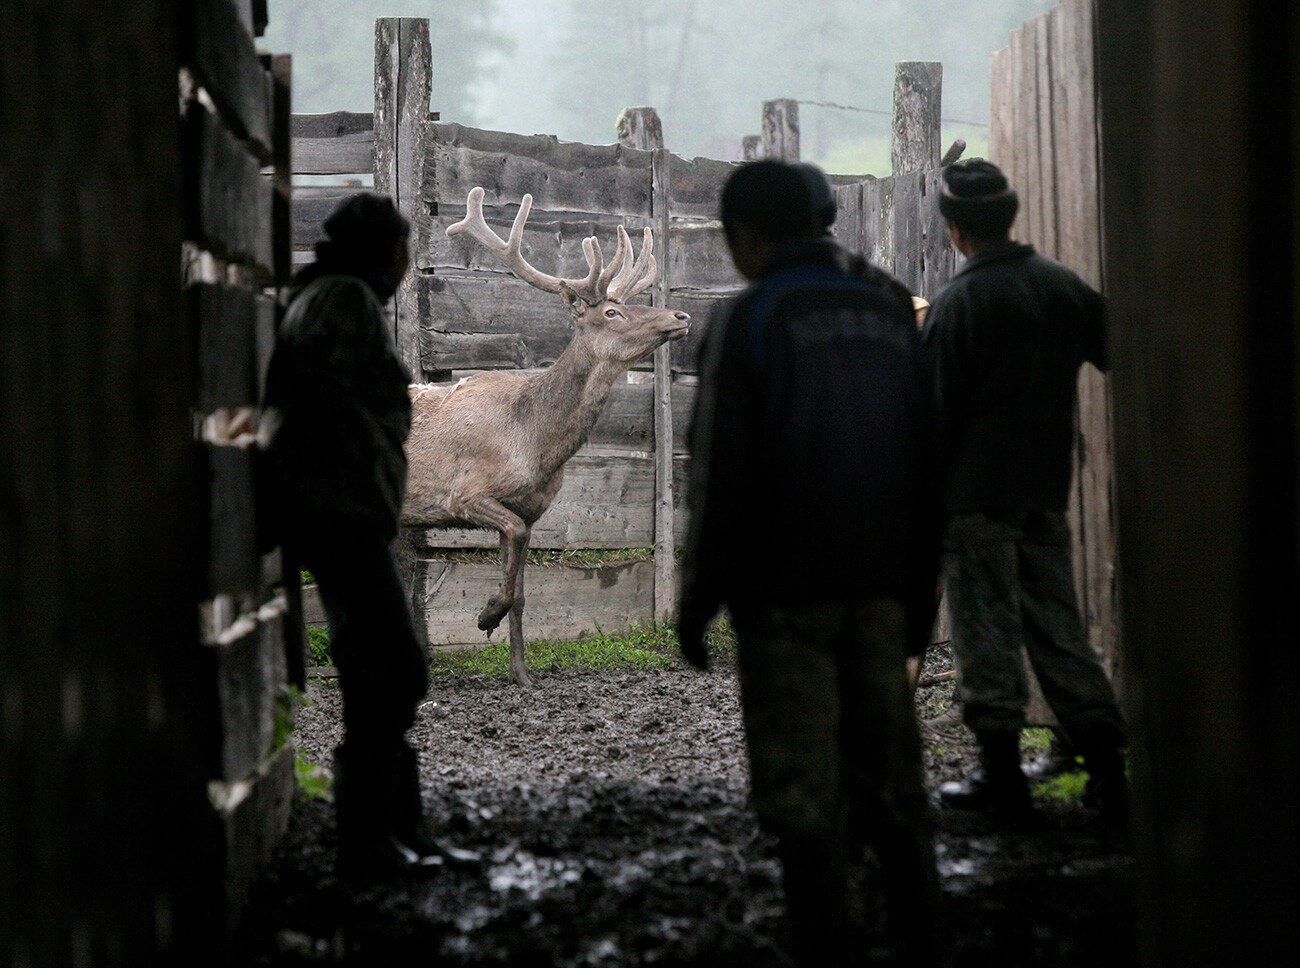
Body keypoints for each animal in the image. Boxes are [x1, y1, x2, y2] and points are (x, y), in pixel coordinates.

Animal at [403, 187, 691, 686]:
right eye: (611, 311)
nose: (682, 314)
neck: (536, 445)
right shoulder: (465, 492)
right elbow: (510, 569)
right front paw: (485, 615)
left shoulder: (531, 511)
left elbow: (521, 594)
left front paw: (522, 675)